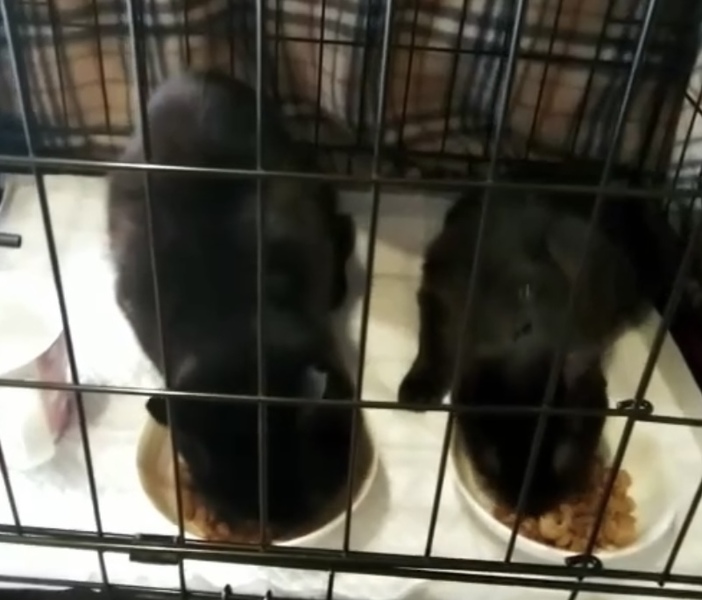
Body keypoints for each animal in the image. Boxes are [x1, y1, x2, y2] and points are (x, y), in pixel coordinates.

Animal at [399, 182, 654, 516]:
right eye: (493, 457)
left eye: (563, 456)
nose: (529, 506)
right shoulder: (437, 295)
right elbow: (432, 343)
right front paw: (419, 388)